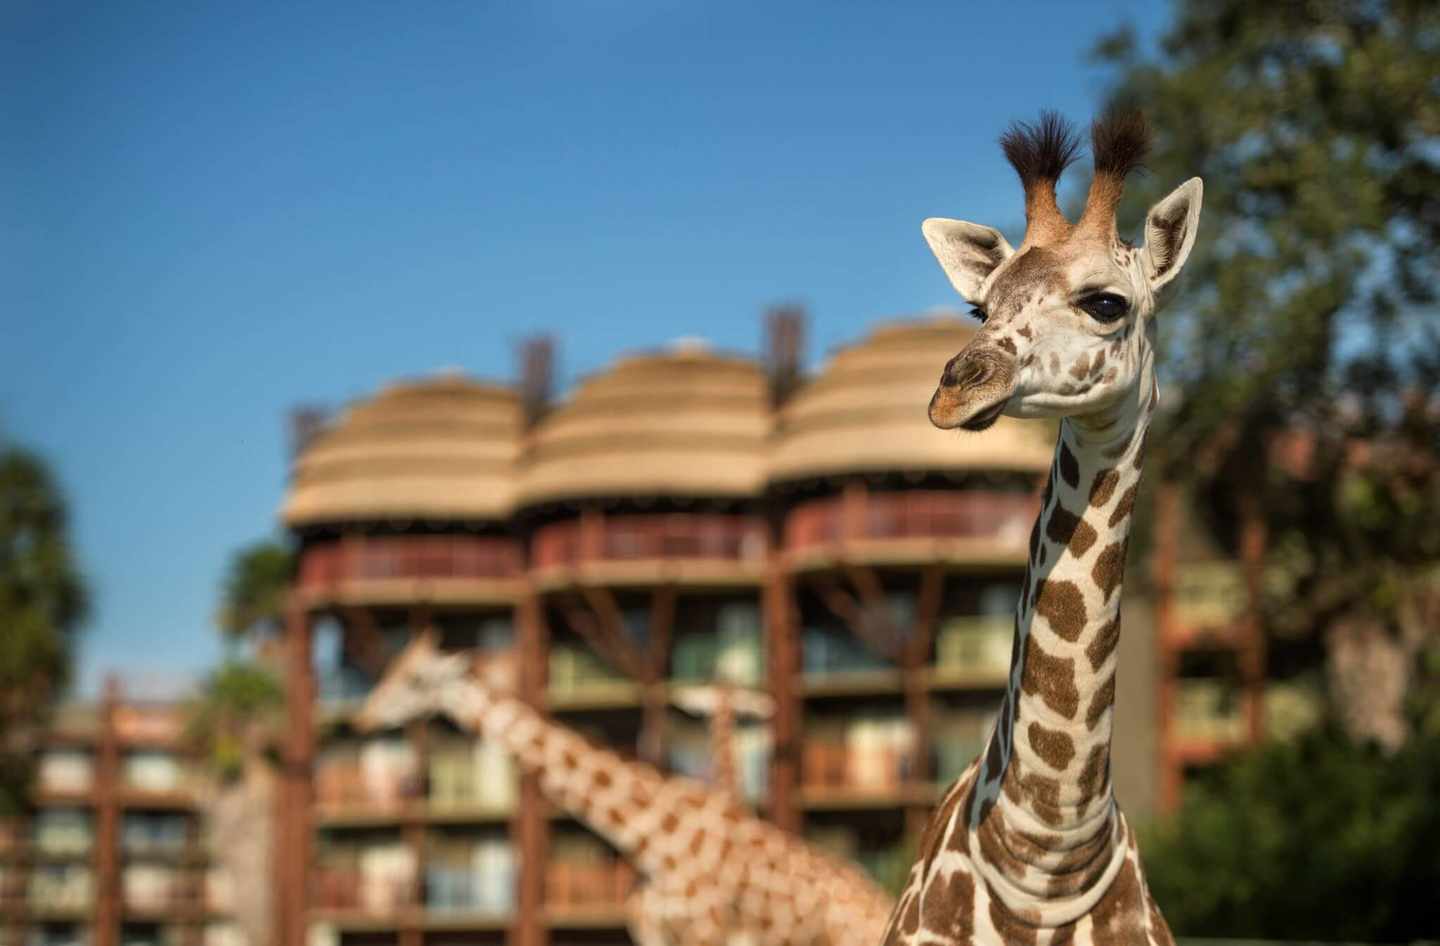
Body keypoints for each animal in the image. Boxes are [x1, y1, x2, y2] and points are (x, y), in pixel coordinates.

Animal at [355, 634, 894, 946]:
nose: (365, 717)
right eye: (392, 670)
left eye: (414, 679)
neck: (656, 837)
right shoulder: (653, 923)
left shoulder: (707, 925)